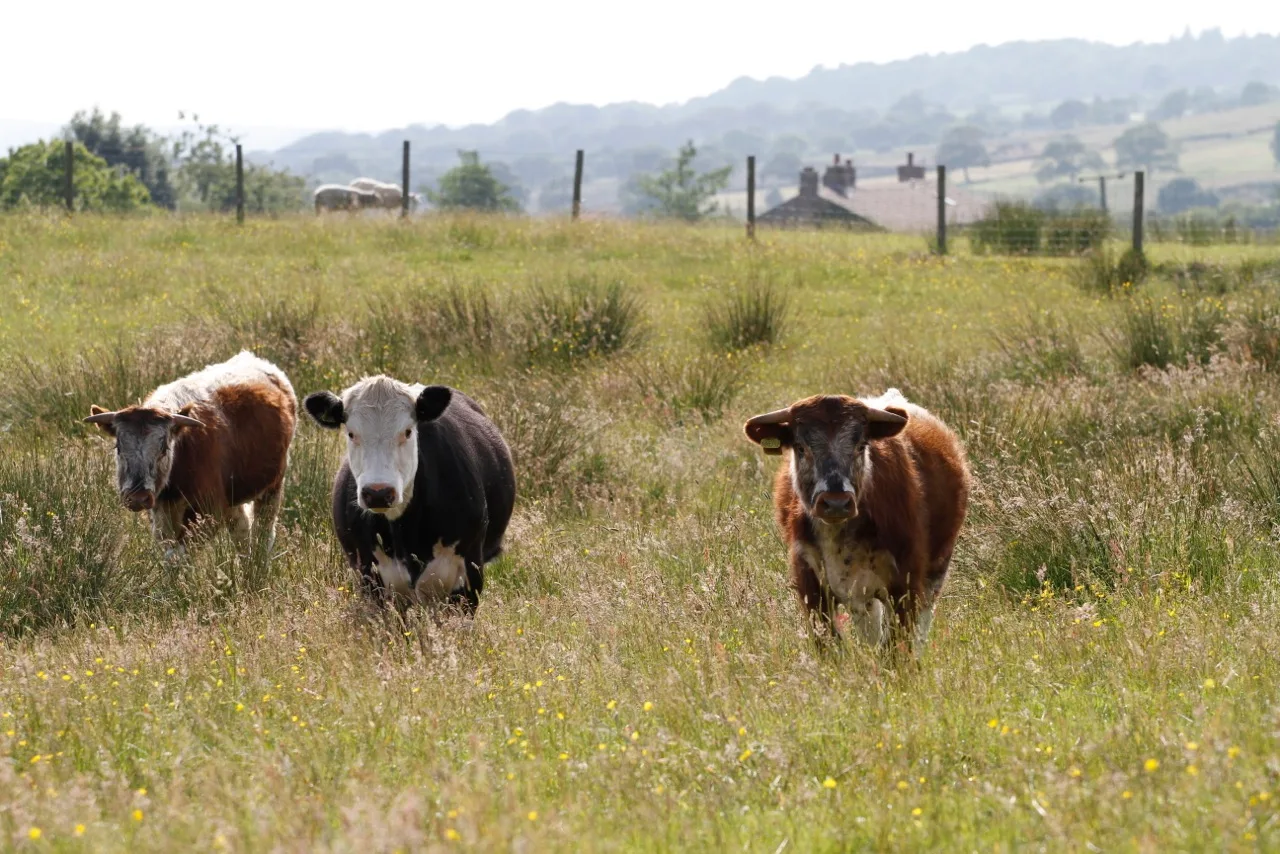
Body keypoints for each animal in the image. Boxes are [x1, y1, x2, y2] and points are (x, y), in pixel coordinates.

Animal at [84, 351, 297, 560]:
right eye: (119, 447)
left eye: (164, 449)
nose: (138, 498)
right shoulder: (161, 514)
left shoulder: (209, 512)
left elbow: (179, 556)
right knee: (242, 531)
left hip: (272, 487)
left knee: (263, 533)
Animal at [744, 388, 969, 650]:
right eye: (800, 447)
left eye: (861, 446)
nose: (836, 503)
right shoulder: (811, 587)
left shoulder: (906, 585)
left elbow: (896, 649)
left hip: (934, 571)